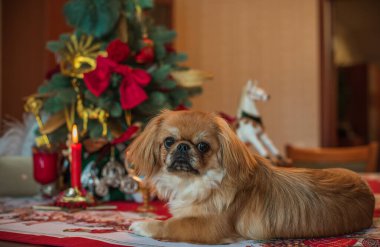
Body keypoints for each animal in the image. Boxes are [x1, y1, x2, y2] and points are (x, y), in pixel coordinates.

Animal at [127, 109, 374, 243]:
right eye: (169, 141)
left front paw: (142, 224)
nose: (183, 147)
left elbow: (170, 225)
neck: (195, 181)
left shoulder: (209, 227)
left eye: (203, 146)